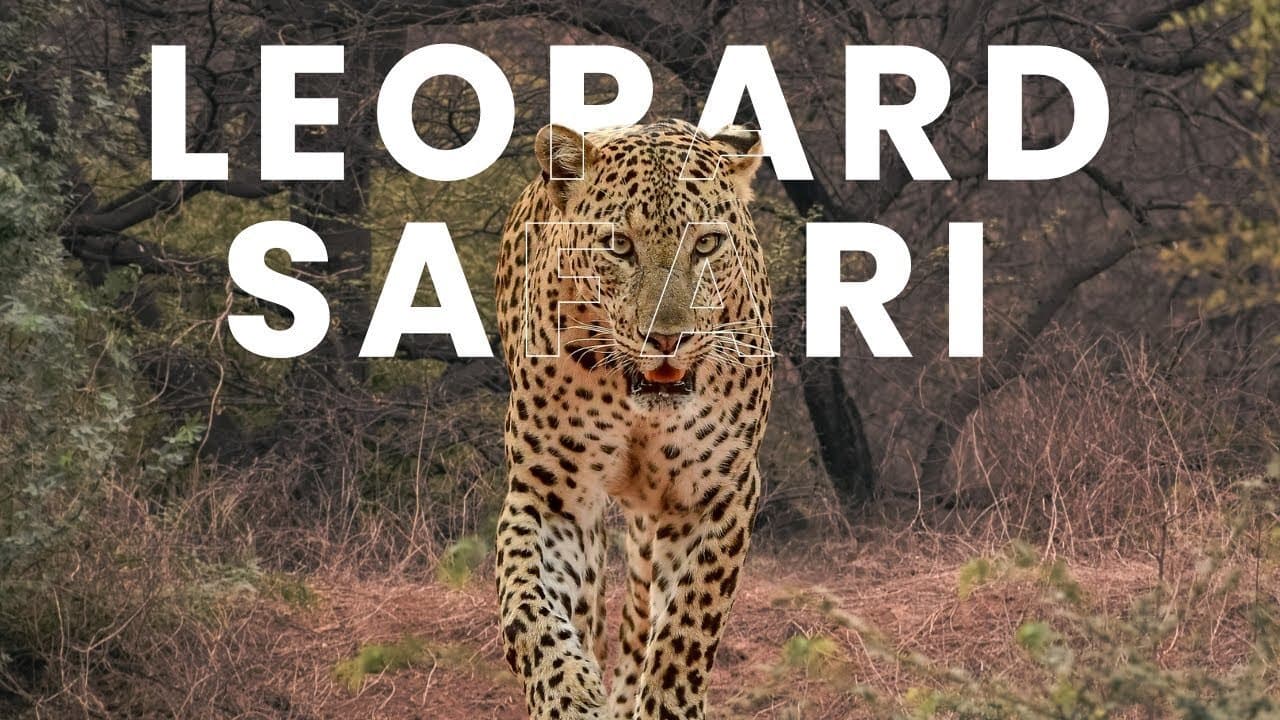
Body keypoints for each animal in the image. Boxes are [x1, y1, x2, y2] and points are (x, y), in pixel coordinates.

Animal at [493, 118, 773, 720]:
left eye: (707, 243)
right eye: (619, 245)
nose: (666, 339)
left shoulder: (717, 493)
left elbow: (686, 623)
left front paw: (666, 704)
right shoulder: (551, 497)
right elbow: (530, 608)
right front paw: (568, 696)